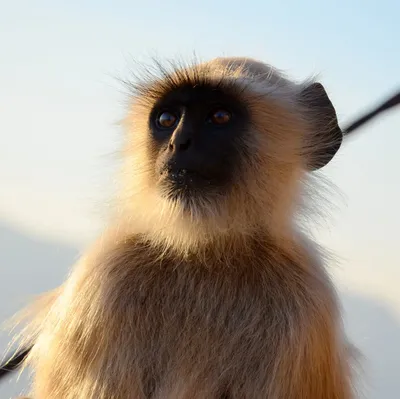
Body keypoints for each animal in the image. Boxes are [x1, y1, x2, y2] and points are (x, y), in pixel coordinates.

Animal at [10, 57, 356, 399]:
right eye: (166, 119)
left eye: (219, 116)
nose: (178, 143)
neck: (204, 251)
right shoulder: (101, 283)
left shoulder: (308, 302)